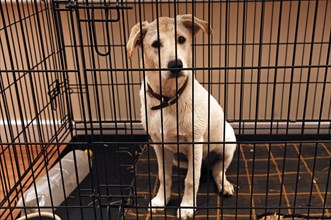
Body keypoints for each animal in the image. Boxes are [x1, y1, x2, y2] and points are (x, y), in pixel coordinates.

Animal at [127, 14, 239, 219]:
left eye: (181, 39)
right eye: (156, 44)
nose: (176, 65)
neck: (168, 99)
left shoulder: (195, 142)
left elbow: (191, 180)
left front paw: (187, 207)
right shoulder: (159, 144)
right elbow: (164, 176)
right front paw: (161, 200)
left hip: (228, 143)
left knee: (218, 170)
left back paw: (224, 184)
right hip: (180, 159)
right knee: (207, 169)